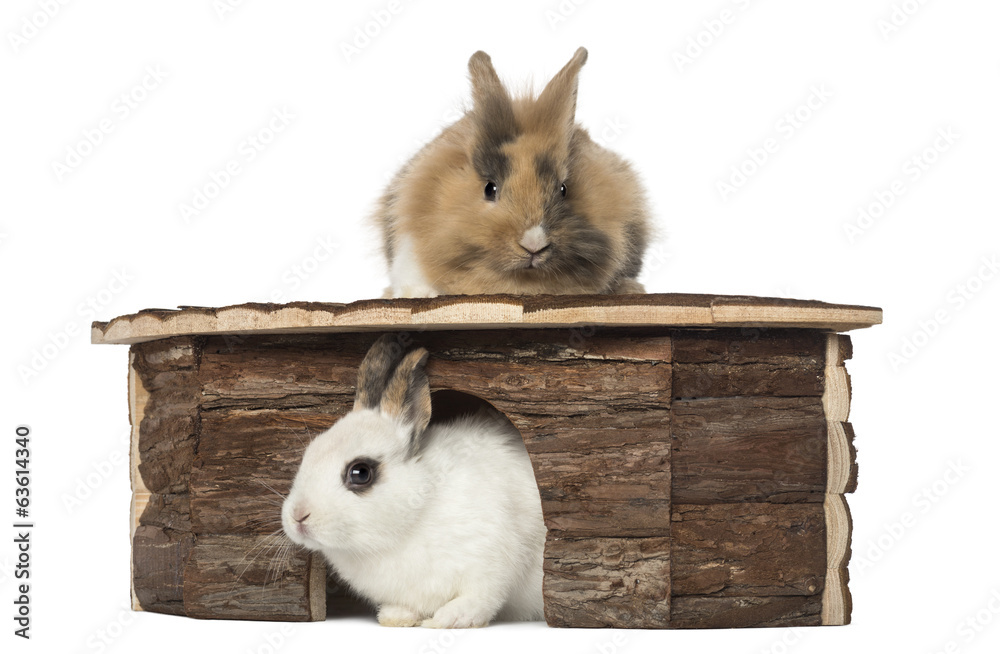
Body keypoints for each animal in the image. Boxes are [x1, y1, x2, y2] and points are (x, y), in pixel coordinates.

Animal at [281, 334, 546, 628]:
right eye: (308, 454)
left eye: (360, 473)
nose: (298, 516)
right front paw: (395, 617)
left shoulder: (491, 563)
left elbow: (481, 599)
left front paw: (447, 619)